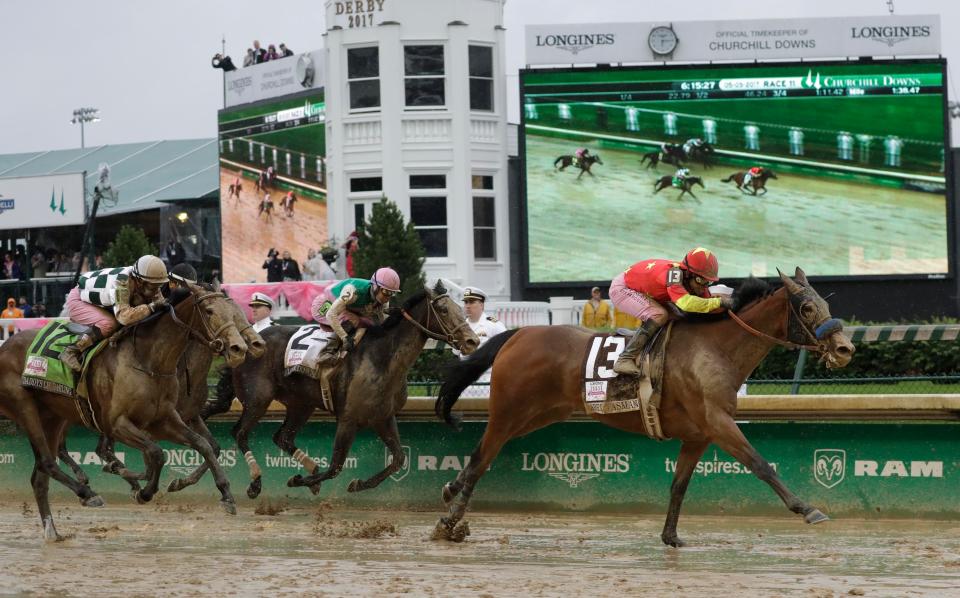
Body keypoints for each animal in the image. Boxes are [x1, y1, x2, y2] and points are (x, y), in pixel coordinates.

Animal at [0, 284, 251, 540]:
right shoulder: (117, 424)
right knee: (48, 461)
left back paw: (53, 532)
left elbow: (204, 445)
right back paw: (88, 493)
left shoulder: (164, 420)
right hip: (25, 407)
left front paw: (226, 495)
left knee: (40, 476)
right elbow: (156, 454)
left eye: (234, 312)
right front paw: (144, 491)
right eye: (209, 311)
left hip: (53, 416)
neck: (149, 361)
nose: (239, 348)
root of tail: (5, 346)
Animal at [436, 270, 856, 548]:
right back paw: (450, 520)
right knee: (481, 457)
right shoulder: (718, 422)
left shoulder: (699, 435)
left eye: (825, 303)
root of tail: (518, 334)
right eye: (807, 307)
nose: (845, 349)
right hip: (509, 412)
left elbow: (679, 485)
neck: (717, 348)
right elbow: (761, 464)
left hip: (536, 414)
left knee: (483, 455)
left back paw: (451, 495)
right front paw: (808, 509)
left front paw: (671, 536)